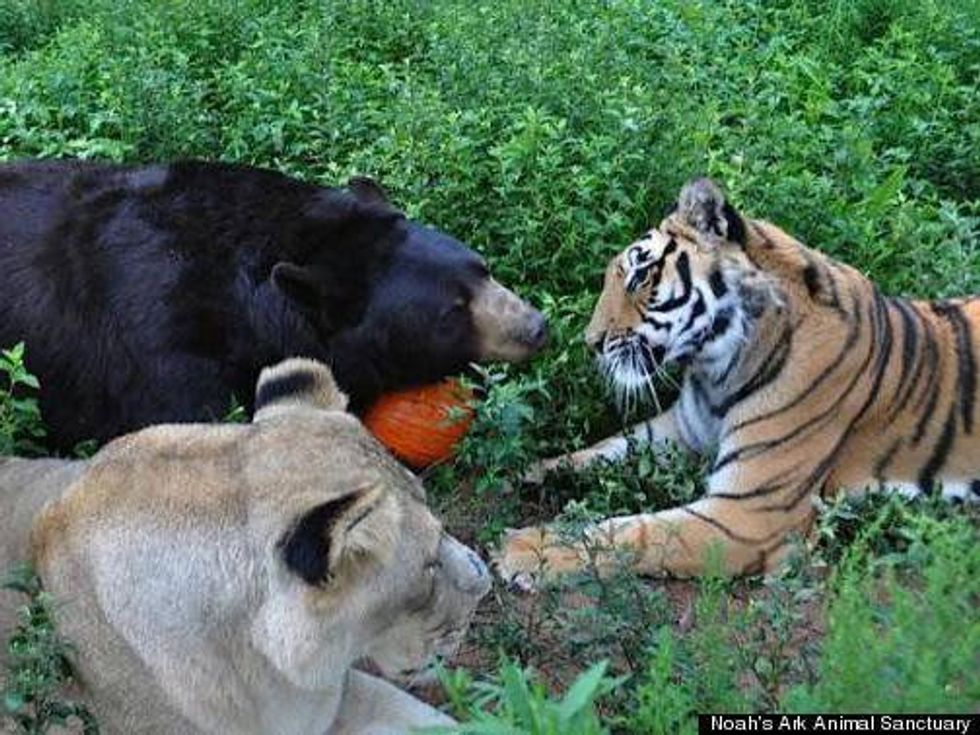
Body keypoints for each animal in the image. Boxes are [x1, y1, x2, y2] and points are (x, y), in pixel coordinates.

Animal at [496, 177, 980, 587]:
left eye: (642, 276)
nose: (591, 343)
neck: (716, 368)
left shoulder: (751, 514)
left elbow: (637, 533)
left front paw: (523, 549)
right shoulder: (679, 431)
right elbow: (597, 451)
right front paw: (518, 471)